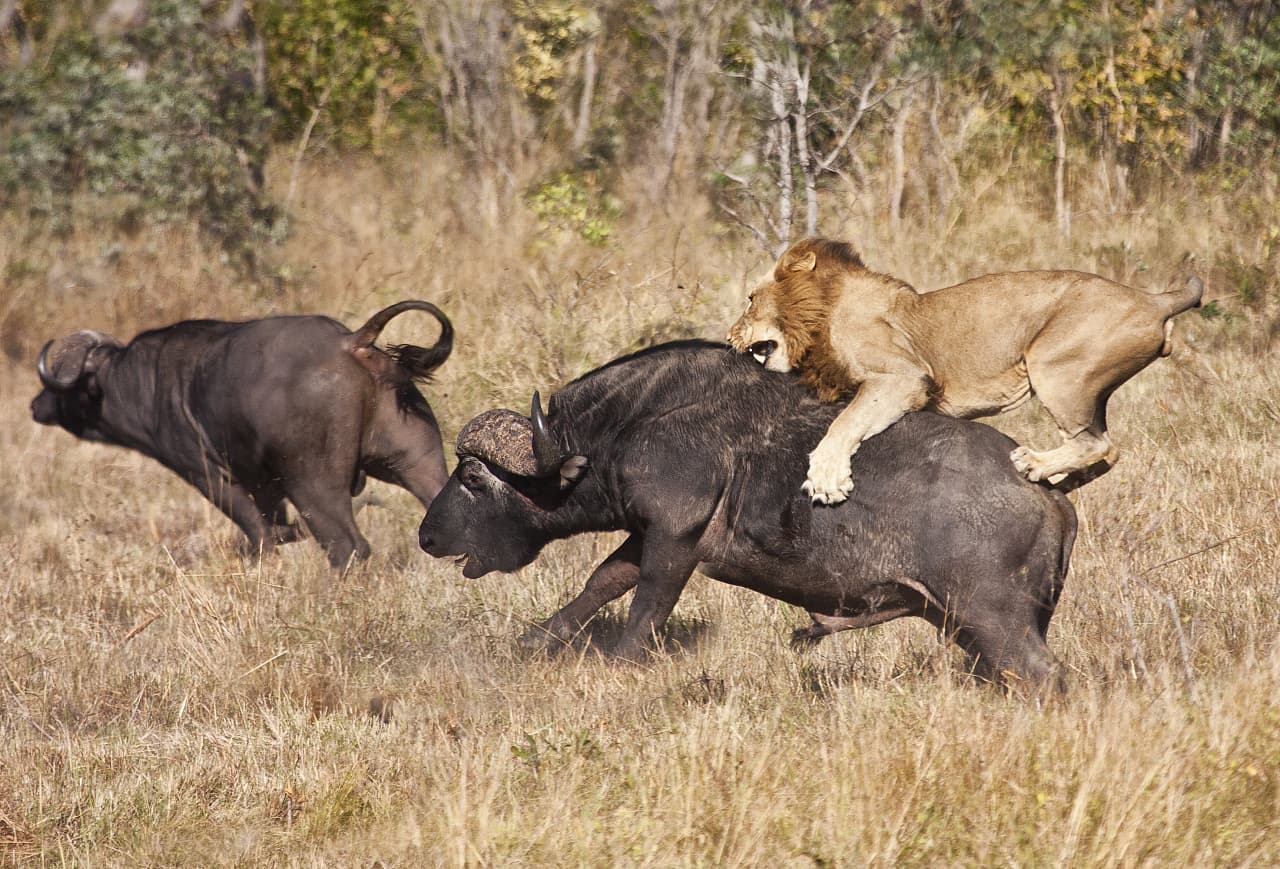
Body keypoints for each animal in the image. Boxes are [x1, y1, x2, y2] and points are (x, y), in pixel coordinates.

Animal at [32, 302, 455, 568]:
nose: (36, 405)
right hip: (415, 461)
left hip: (313, 485)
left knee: (347, 548)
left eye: (61, 384)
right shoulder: (265, 484)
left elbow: (259, 532)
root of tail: (350, 342)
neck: (143, 383)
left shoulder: (208, 475)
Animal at [422, 340, 1080, 685]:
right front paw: (536, 640)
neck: (633, 422)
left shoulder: (673, 539)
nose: (427, 536)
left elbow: (646, 609)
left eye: (474, 478)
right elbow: (602, 580)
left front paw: (623, 664)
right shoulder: (645, 534)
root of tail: (1048, 493)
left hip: (995, 620)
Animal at [727, 239, 1203, 509]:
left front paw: (826, 481)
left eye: (750, 299)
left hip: (1054, 367)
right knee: (1109, 452)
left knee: (1099, 443)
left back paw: (1033, 463)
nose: (729, 334)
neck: (820, 314)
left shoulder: (904, 376)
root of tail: (1154, 299)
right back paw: (1053, 480)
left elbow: (845, 423)